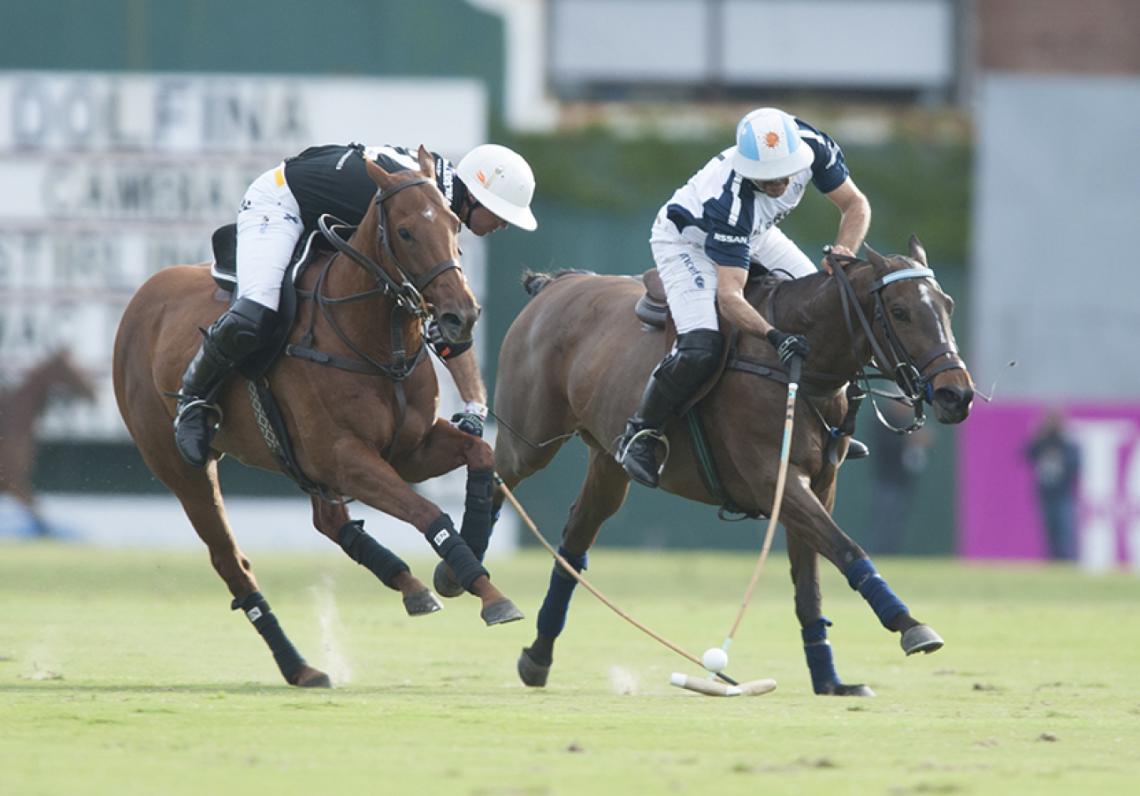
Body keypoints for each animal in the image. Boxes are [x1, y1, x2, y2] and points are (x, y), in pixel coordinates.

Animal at [0, 351, 96, 535]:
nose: (92, 393)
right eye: (71, 369)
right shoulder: (12, 482)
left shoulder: (16, 483)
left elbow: (38, 511)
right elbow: (38, 512)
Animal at [113, 148, 522, 688]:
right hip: (184, 469)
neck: (376, 338)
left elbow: (479, 452)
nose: (461, 316)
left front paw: (459, 571)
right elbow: (428, 514)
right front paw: (486, 591)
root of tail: (141, 296)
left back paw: (401, 583)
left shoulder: (407, 451)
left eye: (454, 226)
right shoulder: (345, 455)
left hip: (300, 460)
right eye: (406, 232)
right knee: (232, 562)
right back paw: (299, 665)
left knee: (327, 520)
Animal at [494, 237, 975, 693]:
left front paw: (829, 680)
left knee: (574, 541)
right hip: (527, 439)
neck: (803, 370)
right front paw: (911, 626)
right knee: (493, 478)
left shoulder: (819, 487)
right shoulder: (773, 480)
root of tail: (556, 285)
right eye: (899, 311)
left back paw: (537, 656)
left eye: (948, 304)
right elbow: (847, 548)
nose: (957, 394)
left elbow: (811, 585)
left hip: (609, 463)